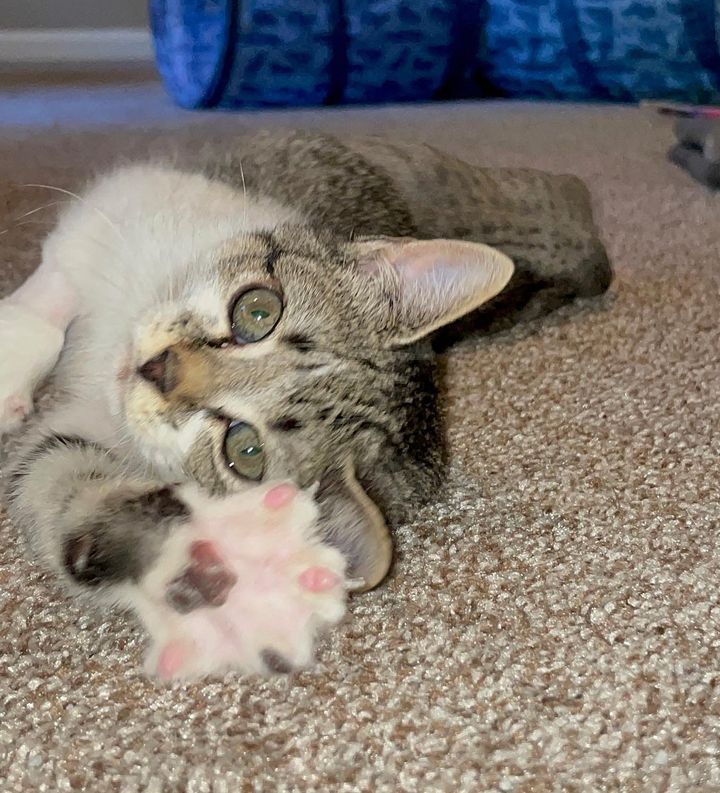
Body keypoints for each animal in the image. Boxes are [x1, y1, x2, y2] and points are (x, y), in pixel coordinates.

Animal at [0, 131, 612, 676]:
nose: (159, 368)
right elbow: (56, 285)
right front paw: (16, 357)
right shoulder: (128, 208)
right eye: (257, 311)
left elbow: (59, 489)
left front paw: (193, 565)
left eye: (244, 450)